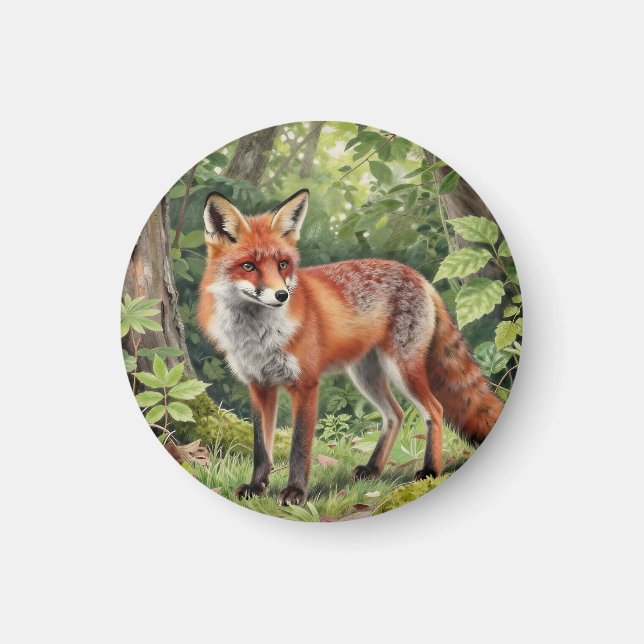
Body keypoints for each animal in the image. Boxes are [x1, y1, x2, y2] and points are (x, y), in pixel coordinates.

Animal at [197, 189, 503, 505]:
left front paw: (296, 491)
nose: (282, 295)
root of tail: (420, 277)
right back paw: (373, 469)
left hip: (402, 369)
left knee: (435, 409)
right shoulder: (260, 386)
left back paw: (430, 470)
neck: (258, 337)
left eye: (282, 264)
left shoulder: (305, 384)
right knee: (395, 414)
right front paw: (256, 487)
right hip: (365, 376)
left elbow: (299, 447)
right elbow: (261, 446)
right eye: (248, 266)